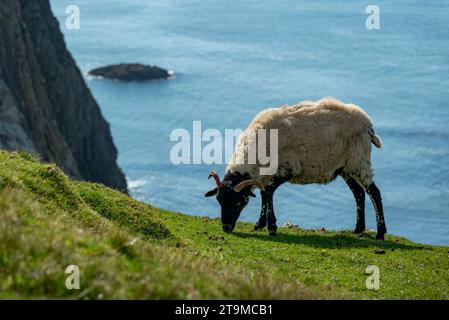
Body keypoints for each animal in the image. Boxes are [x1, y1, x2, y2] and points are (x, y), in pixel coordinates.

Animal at [205, 97, 386, 240]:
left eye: (237, 202)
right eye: (219, 200)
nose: (226, 228)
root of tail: (368, 125)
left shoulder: (288, 169)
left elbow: (268, 192)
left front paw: (272, 227)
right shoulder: (265, 176)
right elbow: (264, 195)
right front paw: (260, 224)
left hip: (358, 161)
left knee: (374, 192)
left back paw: (380, 233)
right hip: (344, 167)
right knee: (359, 193)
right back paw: (358, 229)